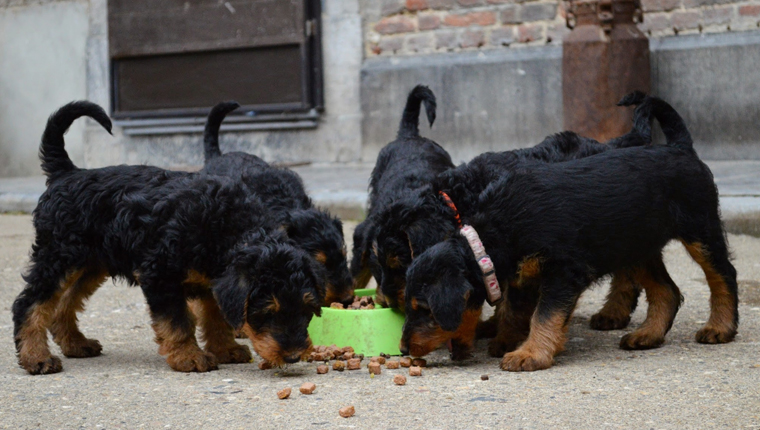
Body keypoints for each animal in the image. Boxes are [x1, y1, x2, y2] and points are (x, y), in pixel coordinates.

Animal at [13, 102, 324, 374]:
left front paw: (225, 349)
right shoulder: (160, 275)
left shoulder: (212, 280)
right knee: (29, 304)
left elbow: (216, 317)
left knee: (64, 303)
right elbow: (177, 322)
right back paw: (36, 358)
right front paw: (189, 357)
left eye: (307, 308)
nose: (293, 356)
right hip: (57, 257)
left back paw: (76, 344)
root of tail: (66, 173)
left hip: (90, 263)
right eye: (268, 311)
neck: (227, 226)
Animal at [398, 95, 736, 372]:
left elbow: (544, 314)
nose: (403, 348)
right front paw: (507, 342)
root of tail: (680, 148)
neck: (496, 231)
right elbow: (516, 310)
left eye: (424, 309)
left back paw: (720, 327)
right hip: (635, 243)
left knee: (722, 274)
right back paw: (647, 334)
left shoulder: (564, 271)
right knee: (667, 290)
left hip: (700, 229)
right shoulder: (522, 274)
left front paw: (530, 354)